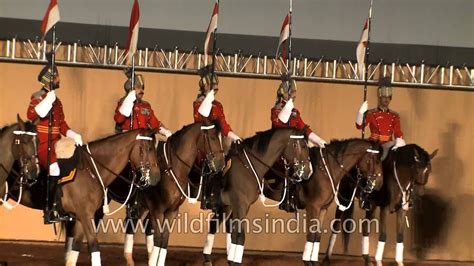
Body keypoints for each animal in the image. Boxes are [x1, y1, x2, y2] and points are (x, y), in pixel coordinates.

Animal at [3, 128, 162, 264]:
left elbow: (75, 248)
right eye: (149, 148)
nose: (156, 176)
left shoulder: (81, 217)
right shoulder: (87, 216)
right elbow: (94, 246)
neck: (90, 170)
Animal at [202, 138, 384, 264]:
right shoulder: (313, 207)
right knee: (217, 223)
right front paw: (307, 261)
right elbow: (311, 234)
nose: (379, 184)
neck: (326, 169)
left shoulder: (323, 209)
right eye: (373, 160)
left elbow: (317, 235)